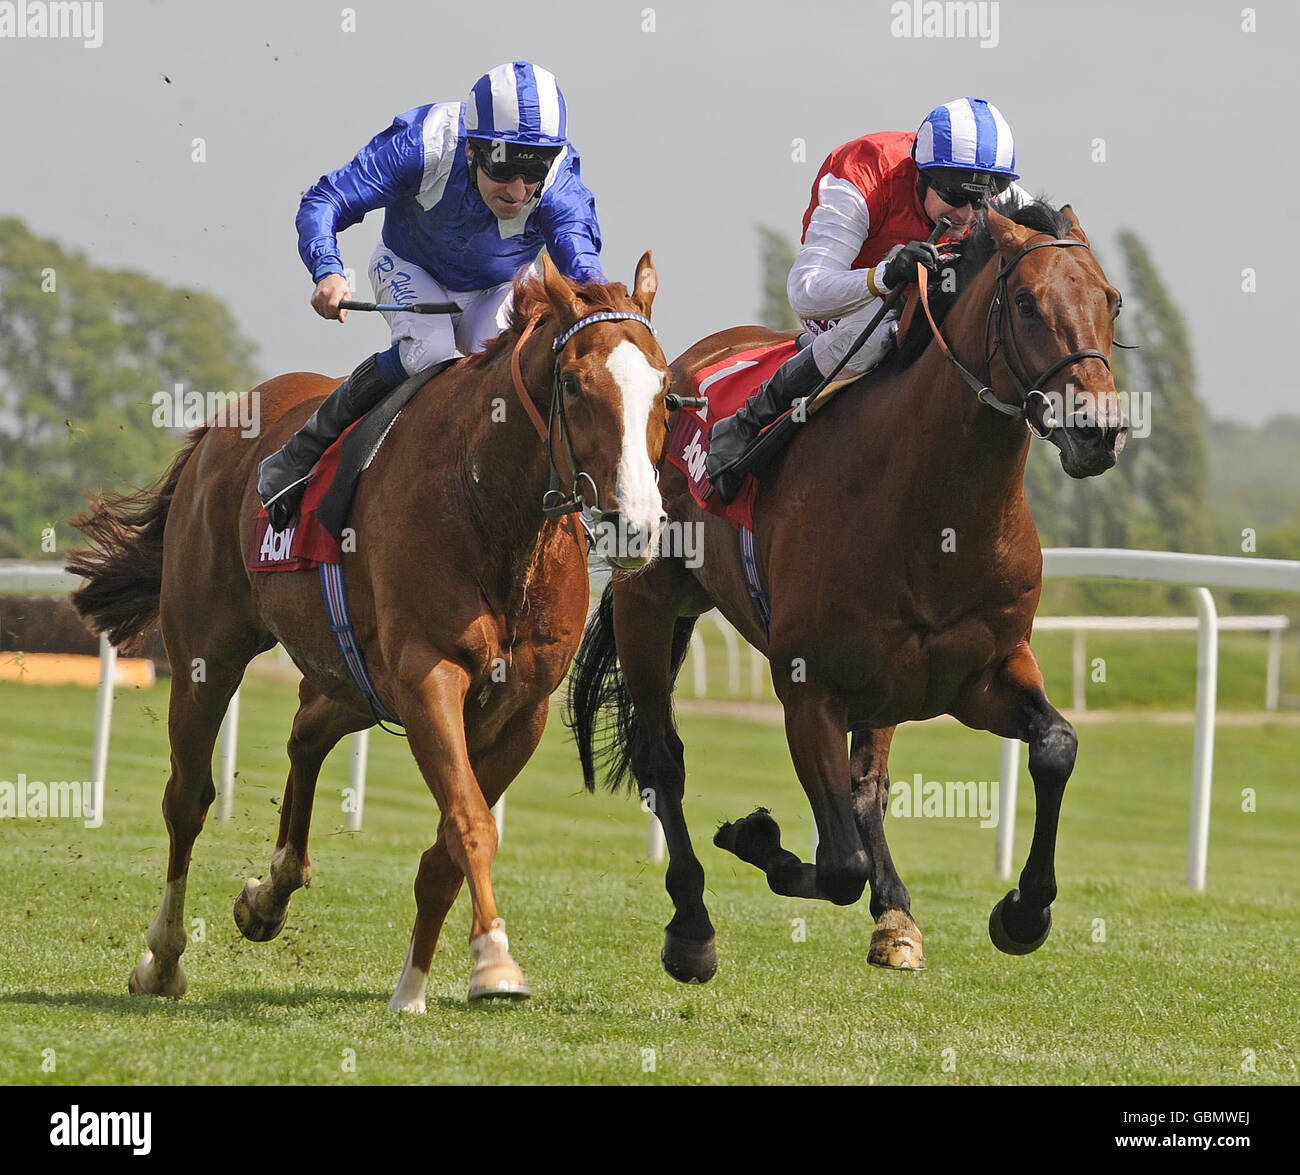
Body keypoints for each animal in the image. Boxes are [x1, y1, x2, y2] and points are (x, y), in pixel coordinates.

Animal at [69, 254, 670, 1008]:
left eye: (665, 389)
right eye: (573, 383)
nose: (637, 525)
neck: (490, 505)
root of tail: (221, 425)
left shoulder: (520, 709)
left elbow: (445, 847)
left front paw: (412, 987)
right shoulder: (428, 677)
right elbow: (469, 822)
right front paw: (494, 961)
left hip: (352, 677)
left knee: (305, 733)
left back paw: (270, 894)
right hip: (209, 651)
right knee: (188, 797)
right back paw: (163, 958)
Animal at [569, 204, 1128, 982]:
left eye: (1111, 300)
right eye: (1024, 302)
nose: (1098, 431)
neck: (934, 512)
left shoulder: (981, 673)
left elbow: (1055, 746)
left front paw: (1023, 911)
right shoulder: (809, 688)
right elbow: (838, 864)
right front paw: (756, 836)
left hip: (886, 685)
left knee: (868, 788)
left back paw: (895, 917)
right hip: (649, 605)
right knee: (663, 763)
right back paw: (692, 929)